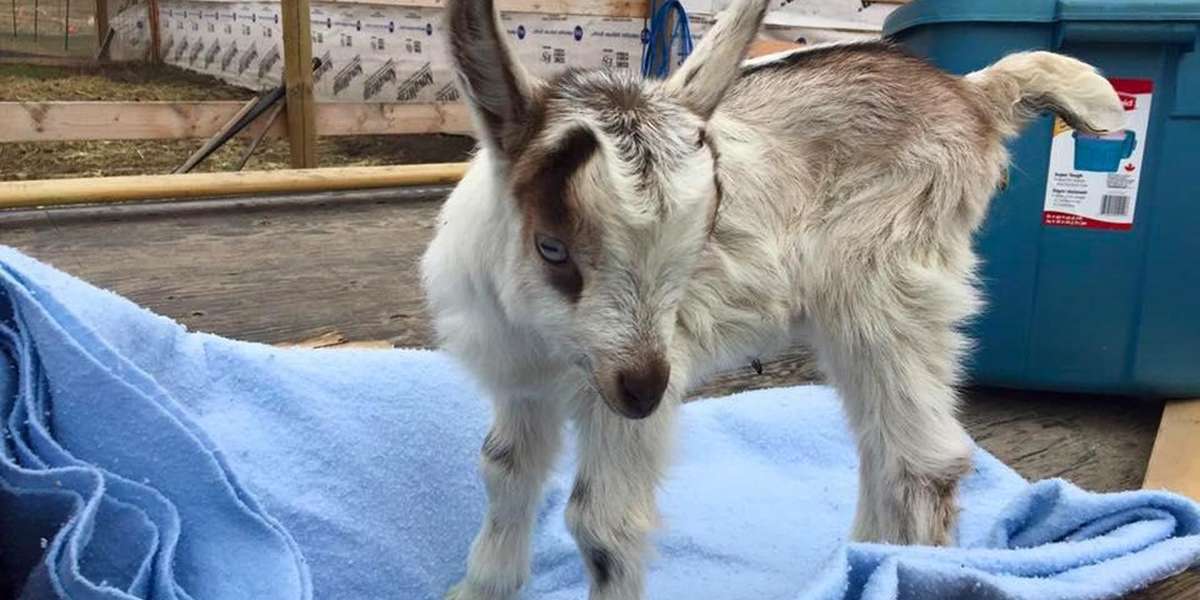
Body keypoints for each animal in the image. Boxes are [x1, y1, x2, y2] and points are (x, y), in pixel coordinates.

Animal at [420, 0, 1125, 597]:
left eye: (700, 238)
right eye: (552, 248)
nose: (642, 390)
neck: (545, 338)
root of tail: (973, 93)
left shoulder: (621, 393)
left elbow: (601, 523)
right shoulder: (522, 382)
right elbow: (503, 471)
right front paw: (481, 588)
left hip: (891, 281)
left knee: (924, 458)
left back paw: (907, 569)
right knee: (879, 442)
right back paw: (861, 560)